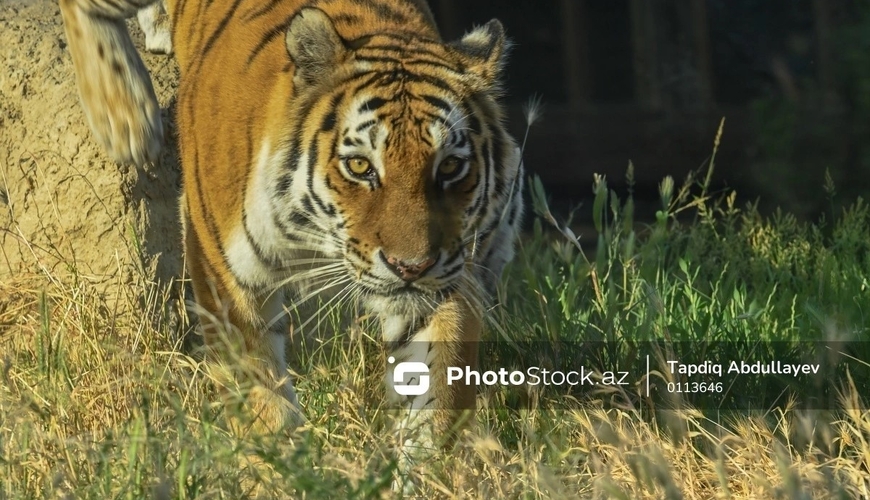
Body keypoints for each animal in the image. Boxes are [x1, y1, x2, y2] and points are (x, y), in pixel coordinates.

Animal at [59, 0, 524, 475]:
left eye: (450, 166)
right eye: (360, 166)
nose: (410, 267)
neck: (317, 233)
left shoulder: (448, 274)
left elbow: (439, 393)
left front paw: (429, 473)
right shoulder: (225, 275)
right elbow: (259, 394)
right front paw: (278, 470)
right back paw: (124, 118)